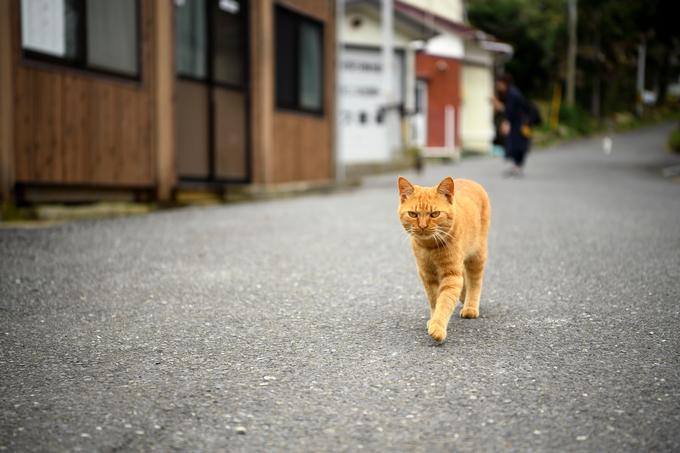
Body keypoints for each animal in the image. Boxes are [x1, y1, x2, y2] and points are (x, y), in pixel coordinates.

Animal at [398, 175, 488, 340]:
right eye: (413, 214)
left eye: (435, 214)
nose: (422, 226)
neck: (429, 247)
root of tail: (468, 180)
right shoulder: (427, 275)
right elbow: (434, 300)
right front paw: (433, 320)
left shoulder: (451, 275)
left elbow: (444, 301)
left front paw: (437, 326)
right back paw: (463, 297)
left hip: (477, 255)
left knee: (475, 282)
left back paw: (470, 306)